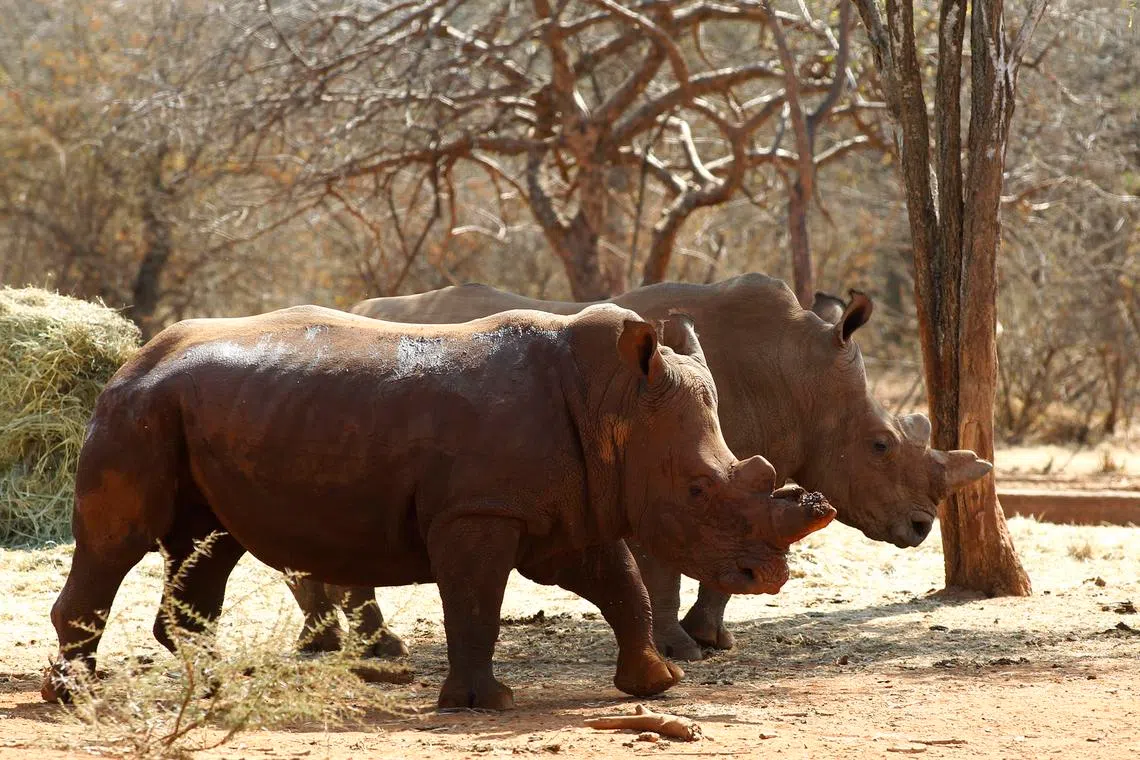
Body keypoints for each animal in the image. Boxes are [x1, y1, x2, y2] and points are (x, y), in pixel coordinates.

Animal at [42, 303, 835, 709]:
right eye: (699, 492)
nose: (769, 577)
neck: (614, 406)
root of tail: (130, 359)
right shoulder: (478, 512)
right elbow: (476, 603)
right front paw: (487, 702)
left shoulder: (569, 508)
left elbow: (622, 586)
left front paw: (657, 684)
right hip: (137, 413)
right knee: (119, 542)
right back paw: (75, 697)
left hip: (200, 412)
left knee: (207, 544)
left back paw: (211, 688)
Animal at [291, 274, 992, 662]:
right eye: (880, 445)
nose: (920, 528)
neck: (796, 377)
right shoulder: (663, 471)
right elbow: (665, 569)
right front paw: (680, 647)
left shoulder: (726, 479)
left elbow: (725, 560)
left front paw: (711, 641)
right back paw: (370, 647)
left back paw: (333, 644)